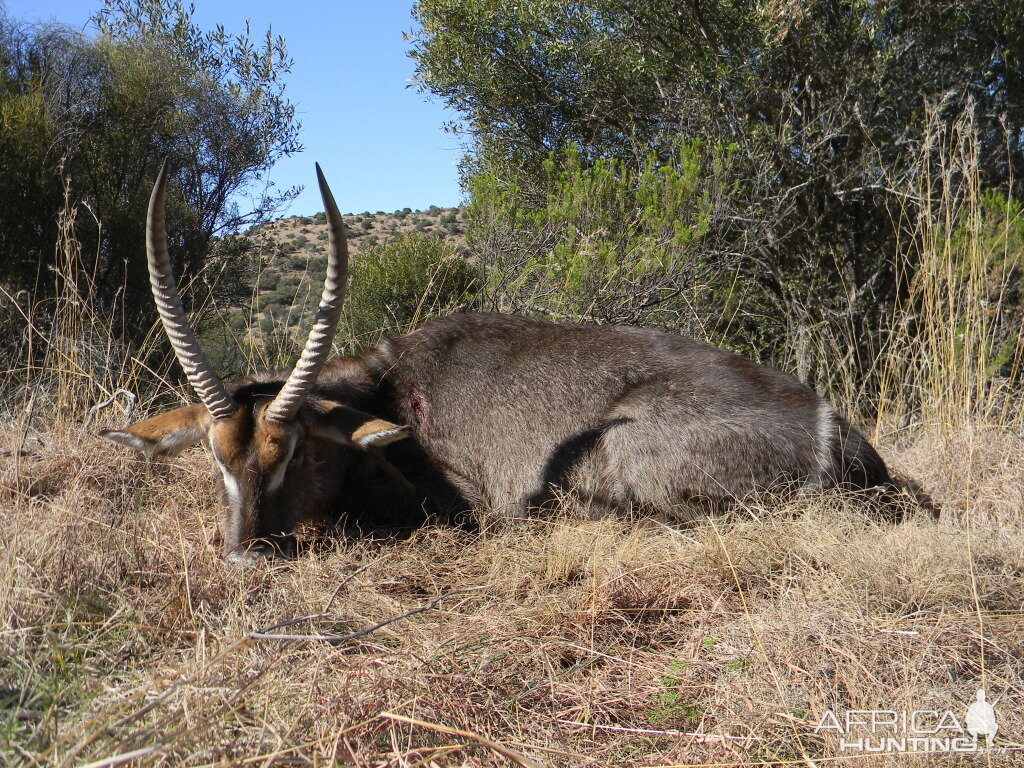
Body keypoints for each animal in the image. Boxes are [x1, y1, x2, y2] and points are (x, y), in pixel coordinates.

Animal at [103, 165, 901, 561]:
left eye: (297, 453)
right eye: (217, 457)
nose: (242, 555)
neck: (388, 391)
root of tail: (839, 434)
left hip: (624, 453)